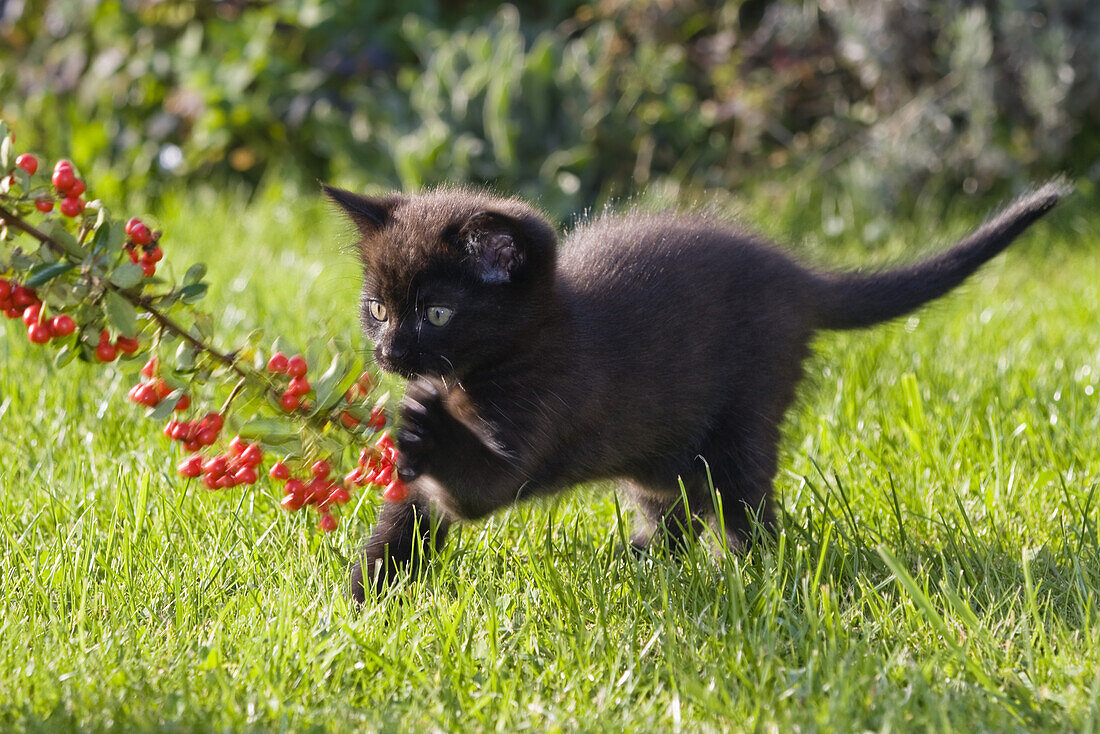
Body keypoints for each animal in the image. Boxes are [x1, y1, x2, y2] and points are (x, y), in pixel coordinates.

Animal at [321, 179, 1069, 603]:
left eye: (438, 312)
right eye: (379, 308)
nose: (389, 354)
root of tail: (799, 277)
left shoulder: (543, 413)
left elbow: (476, 484)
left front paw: (422, 422)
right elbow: (403, 523)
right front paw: (362, 604)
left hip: (747, 413)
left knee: (746, 506)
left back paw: (746, 575)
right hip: (662, 444)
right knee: (672, 500)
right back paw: (643, 563)